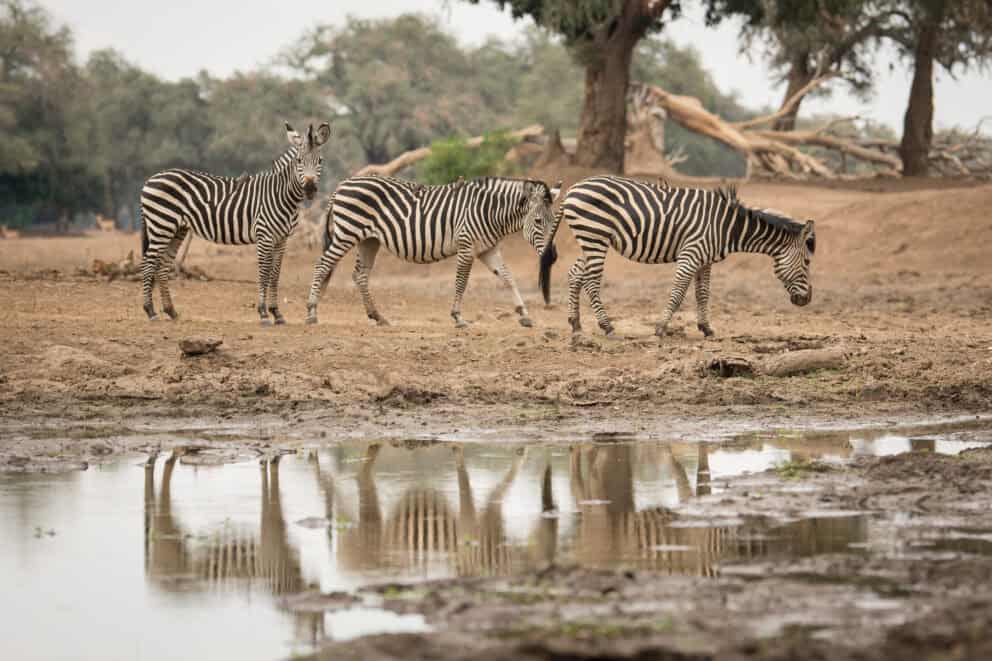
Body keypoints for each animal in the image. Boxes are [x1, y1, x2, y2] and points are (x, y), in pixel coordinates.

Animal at [139, 122, 331, 324]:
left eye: (320, 161)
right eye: (299, 161)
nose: (310, 188)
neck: (281, 195)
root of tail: (151, 178)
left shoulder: (282, 239)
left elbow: (275, 276)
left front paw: (277, 314)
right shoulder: (264, 236)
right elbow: (264, 274)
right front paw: (263, 313)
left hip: (176, 229)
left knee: (162, 265)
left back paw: (171, 311)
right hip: (161, 224)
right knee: (148, 263)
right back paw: (150, 311)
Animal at [305, 175, 562, 328]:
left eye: (553, 221)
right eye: (538, 221)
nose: (552, 257)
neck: (489, 211)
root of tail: (342, 185)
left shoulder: (487, 249)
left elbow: (508, 277)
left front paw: (524, 313)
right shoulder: (467, 246)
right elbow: (461, 282)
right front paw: (458, 317)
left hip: (368, 240)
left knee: (359, 275)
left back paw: (377, 316)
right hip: (346, 234)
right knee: (322, 265)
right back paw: (312, 312)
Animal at [541, 175, 815, 338]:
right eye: (807, 262)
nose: (807, 300)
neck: (728, 227)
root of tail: (573, 189)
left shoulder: (705, 260)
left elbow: (702, 294)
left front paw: (706, 328)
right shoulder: (691, 254)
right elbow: (678, 292)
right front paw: (661, 328)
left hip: (590, 239)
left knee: (575, 274)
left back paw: (575, 323)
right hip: (595, 236)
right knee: (591, 281)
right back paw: (607, 326)